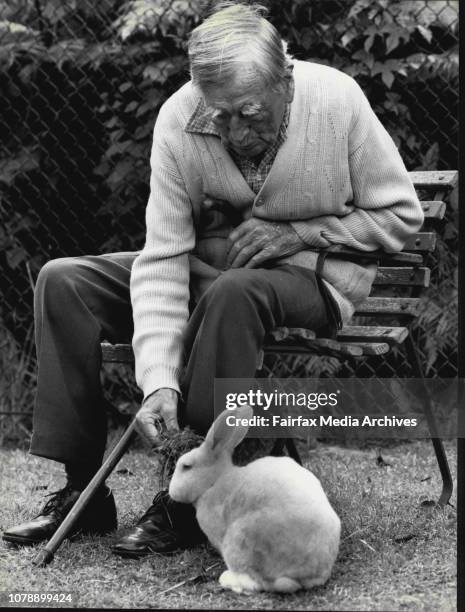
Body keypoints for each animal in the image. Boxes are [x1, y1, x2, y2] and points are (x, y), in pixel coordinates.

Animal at [169, 406, 338, 592]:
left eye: (186, 466)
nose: (170, 491)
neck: (214, 481)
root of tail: (310, 573)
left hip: (239, 541)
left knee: (255, 581)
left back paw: (226, 579)